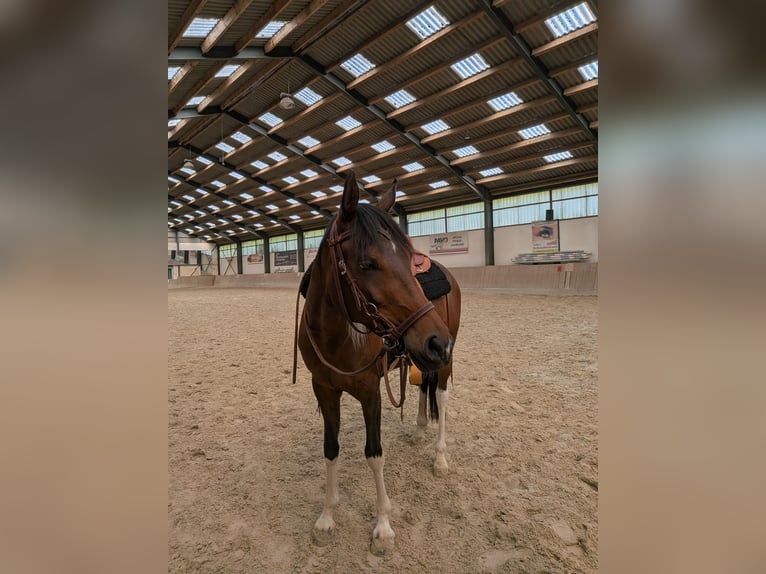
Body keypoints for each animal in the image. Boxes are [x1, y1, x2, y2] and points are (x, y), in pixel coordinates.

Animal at [294, 170, 461, 554]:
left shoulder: (370, 392)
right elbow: (331, 449)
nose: (439, 341)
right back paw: (419, 430)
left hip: (443, 361)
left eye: (406, 259)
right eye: (367, 263)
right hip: (422, 356)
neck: (336, 336)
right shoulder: (323, 389)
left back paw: (440, 456)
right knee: (424, 387)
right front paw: (327, 517)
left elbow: (374, 453)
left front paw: (383, 526)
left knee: (441, 398)